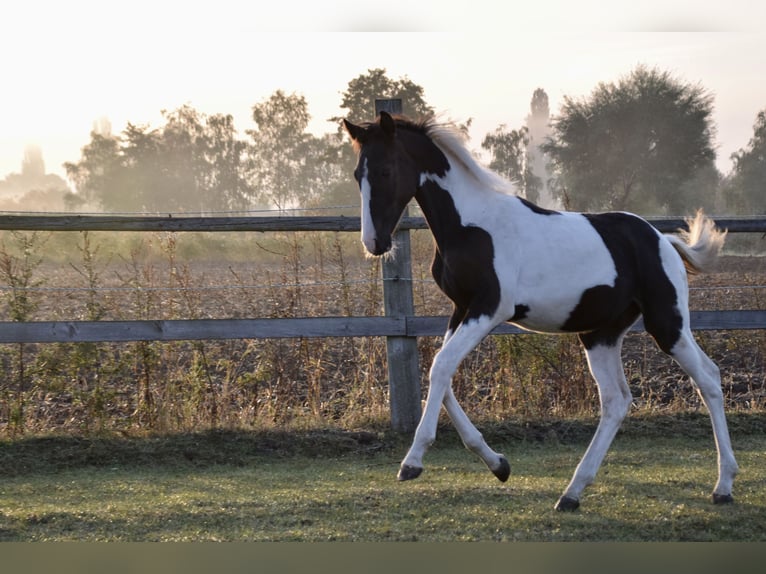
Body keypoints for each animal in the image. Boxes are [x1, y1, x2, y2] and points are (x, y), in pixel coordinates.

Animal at [344, 112, 740, 512]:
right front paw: (498, 464)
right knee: (616, 400)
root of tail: (663, 240)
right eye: (358, 174)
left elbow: (441, 367)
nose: (374, 243)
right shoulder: (461, 309)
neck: (471, 224)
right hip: (600, 335)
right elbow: (442, 374)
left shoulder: (490, 308)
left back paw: (723, 485)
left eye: (386, 170)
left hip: (667, 323)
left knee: (708, 379)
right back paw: (572, 493)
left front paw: (412, 462)